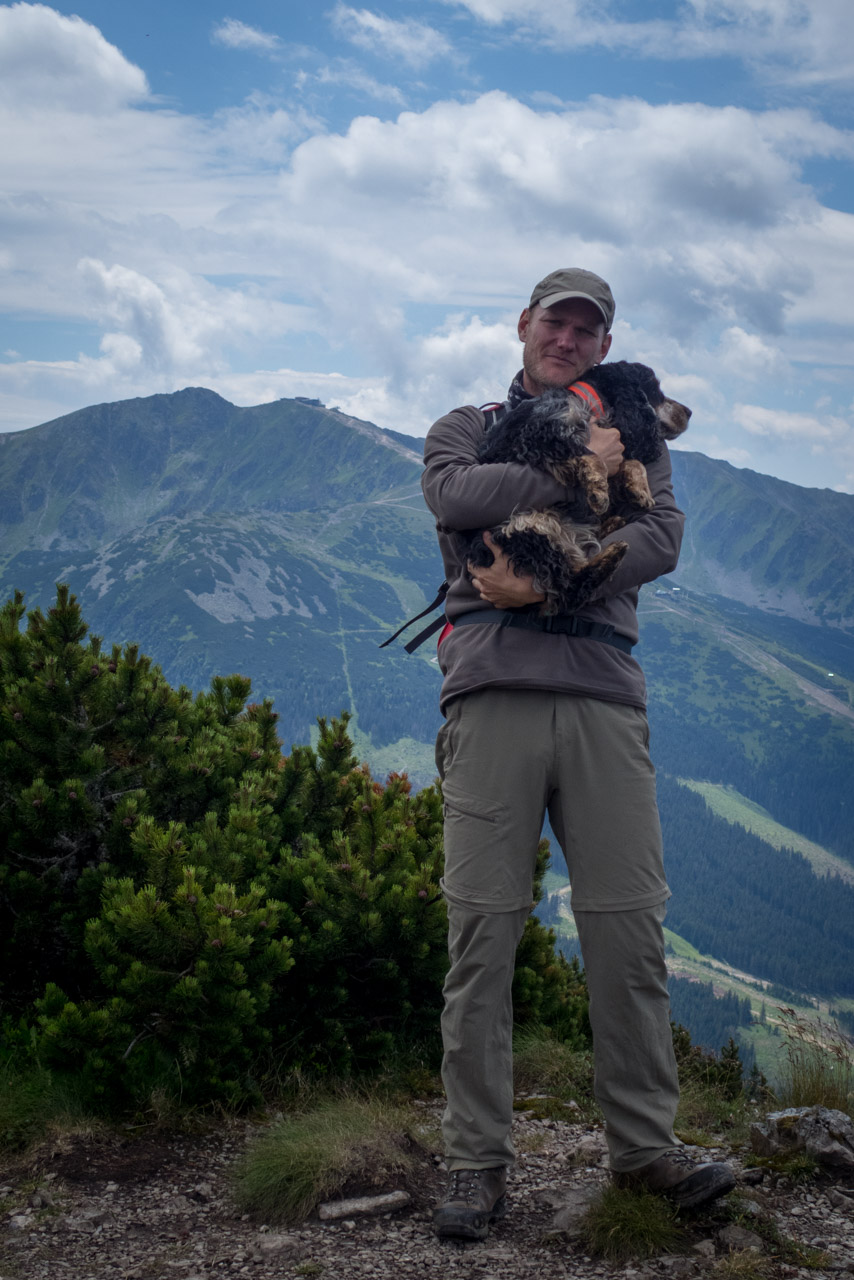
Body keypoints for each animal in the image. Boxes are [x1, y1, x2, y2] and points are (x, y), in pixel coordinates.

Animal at [463, 360, 691, 619]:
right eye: (656, 390)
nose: (689, 412)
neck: (590, 404)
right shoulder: (540, 434)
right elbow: (594, 455)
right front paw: (599, 490)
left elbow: (631, 462)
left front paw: (641, 491)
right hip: (528, 525)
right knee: (569, 588)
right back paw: (613, 553)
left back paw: (612, 526)